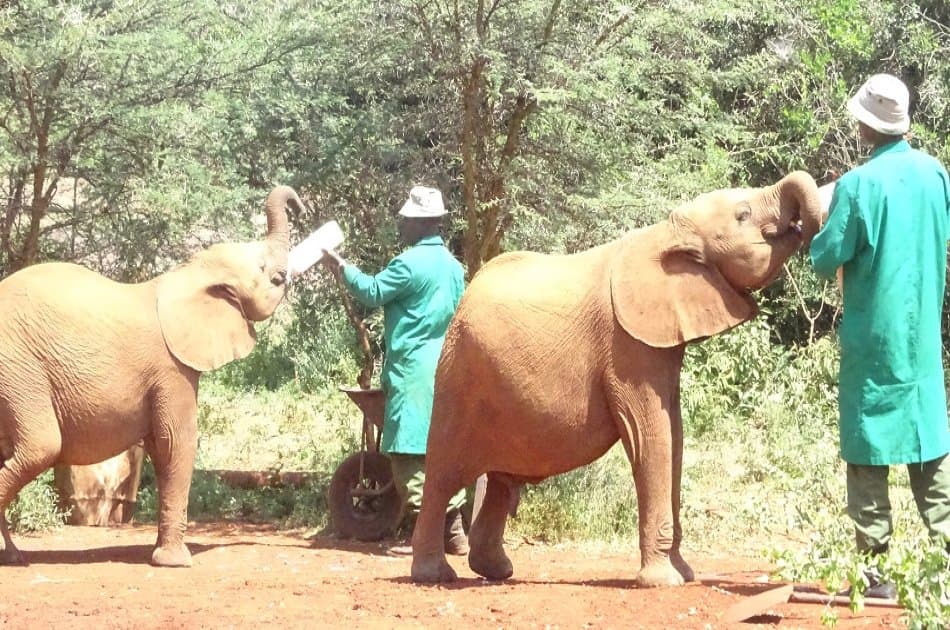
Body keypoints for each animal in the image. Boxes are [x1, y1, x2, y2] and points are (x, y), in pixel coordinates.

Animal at [0, 185, 302, 567]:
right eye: (268, 274)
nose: (299, 205)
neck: (186, 274)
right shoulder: (171, 367)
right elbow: (177, 442)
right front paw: (176, 562)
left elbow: (162, 448)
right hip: (18, 371)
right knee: (41, 446)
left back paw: (13, 558)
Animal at [410, 171, 822, 586]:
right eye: (743, 215)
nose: (804, 222)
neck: (668, 233)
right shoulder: (626, 346)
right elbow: (652, 436)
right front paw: (663, 582)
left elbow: (675, 437)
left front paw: (685, 574)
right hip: (458, 374)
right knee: (443, 475)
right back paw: (435, 575)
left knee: (502, 480)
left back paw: (496, 571)